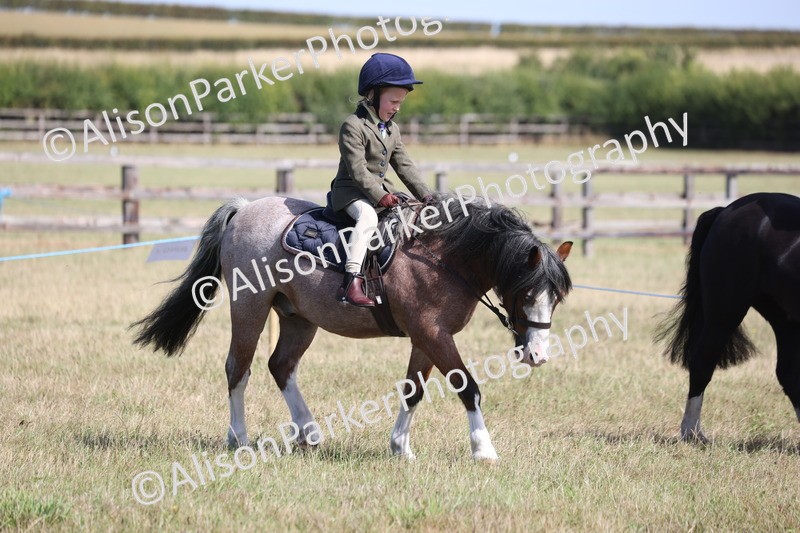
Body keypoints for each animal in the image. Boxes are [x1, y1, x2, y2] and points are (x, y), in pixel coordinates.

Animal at [131, 193, 573, 461]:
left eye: (556, 298)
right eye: (526, 292)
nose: (537, 355)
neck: (442, 257)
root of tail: (246, 208)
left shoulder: (425, 338)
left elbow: (413, 391)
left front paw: (400, 448)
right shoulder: (433, 334)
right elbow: (468, 387)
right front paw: (483, 450)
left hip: (298, 318)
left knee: (281, 366)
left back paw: (308, 433)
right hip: (249, 310)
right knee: (238, 368)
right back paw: (239, 438)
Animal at [656, 192, 800, 442]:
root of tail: (724, 211)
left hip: (784, 317)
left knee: (788, 373)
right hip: (726, 310)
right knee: (702, 361)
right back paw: (692, 433)